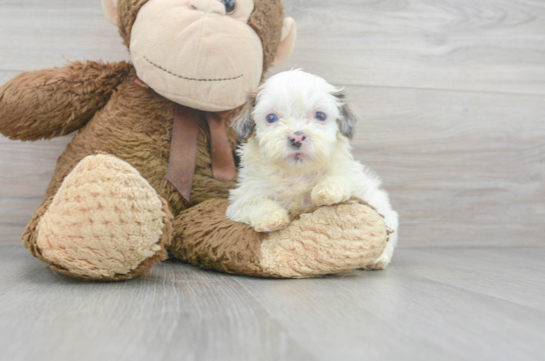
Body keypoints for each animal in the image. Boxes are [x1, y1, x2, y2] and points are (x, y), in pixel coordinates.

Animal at [223, 69, 398, 268]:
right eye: (271, 118)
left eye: (320, 116)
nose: (297, 137)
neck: (296, 173)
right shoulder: (243, 197)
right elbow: (255, 202)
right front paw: (271, 217)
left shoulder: (352, 178)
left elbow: (340, 176)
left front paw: (328, 190)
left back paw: (378, 259)